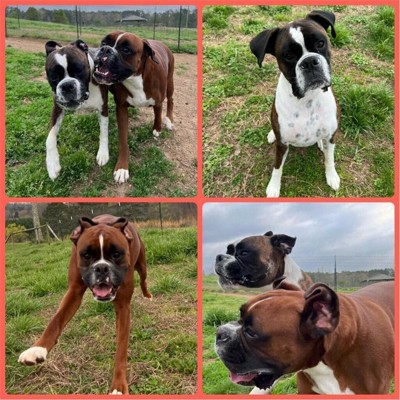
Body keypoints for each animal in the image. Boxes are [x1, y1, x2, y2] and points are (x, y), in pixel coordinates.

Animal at [18, 214, 152, 394]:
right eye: (86, 255)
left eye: (117, 254)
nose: (102, 268)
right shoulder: (73, 293)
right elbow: (55, 321)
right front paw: (37, 348)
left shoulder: (123, 305)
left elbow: (121, 348)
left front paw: (118, 386)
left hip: (142, 265)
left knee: (143, 280)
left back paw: (147, 296)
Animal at [45, 40, 109, 181]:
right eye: (54, 77)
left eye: (79, 70)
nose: (67, 85)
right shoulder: (57, 108)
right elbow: (50, 138)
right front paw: (52, 163)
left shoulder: (103, 109)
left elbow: (104, 132)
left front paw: (103, 153)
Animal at [93, 31, 174, 183]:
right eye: (103, 42)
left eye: (126, 49)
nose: (105, 49)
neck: (135, 79)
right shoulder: (121, 109)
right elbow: (123, 141)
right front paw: (122, 168)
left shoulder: (158, 101)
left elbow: (157, 114)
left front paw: (157, 128)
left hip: (170, 83)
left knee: (171, 101)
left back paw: (169, 120)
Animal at [250, 10, 340, 197]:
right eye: (289, 56)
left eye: (321, 43)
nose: (309, 61)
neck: (307, 100)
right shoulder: (282, 144)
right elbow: (277, 167)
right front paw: (274, 187)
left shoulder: (331, 136)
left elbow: (330, 159)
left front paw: (332, 176)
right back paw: (272, 134)